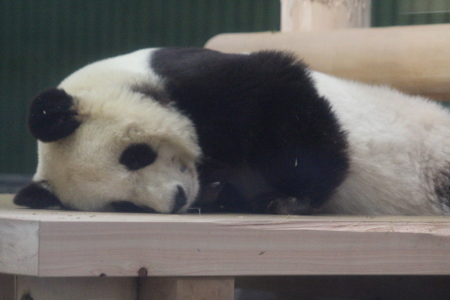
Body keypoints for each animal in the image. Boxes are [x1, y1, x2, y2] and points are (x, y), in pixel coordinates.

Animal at [12, 47, 450, 216]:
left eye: (136, 156)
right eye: (125, 205)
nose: (177, 198)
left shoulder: (196, 82)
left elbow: (281, 92)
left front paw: (292, 198)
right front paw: (221, 193)